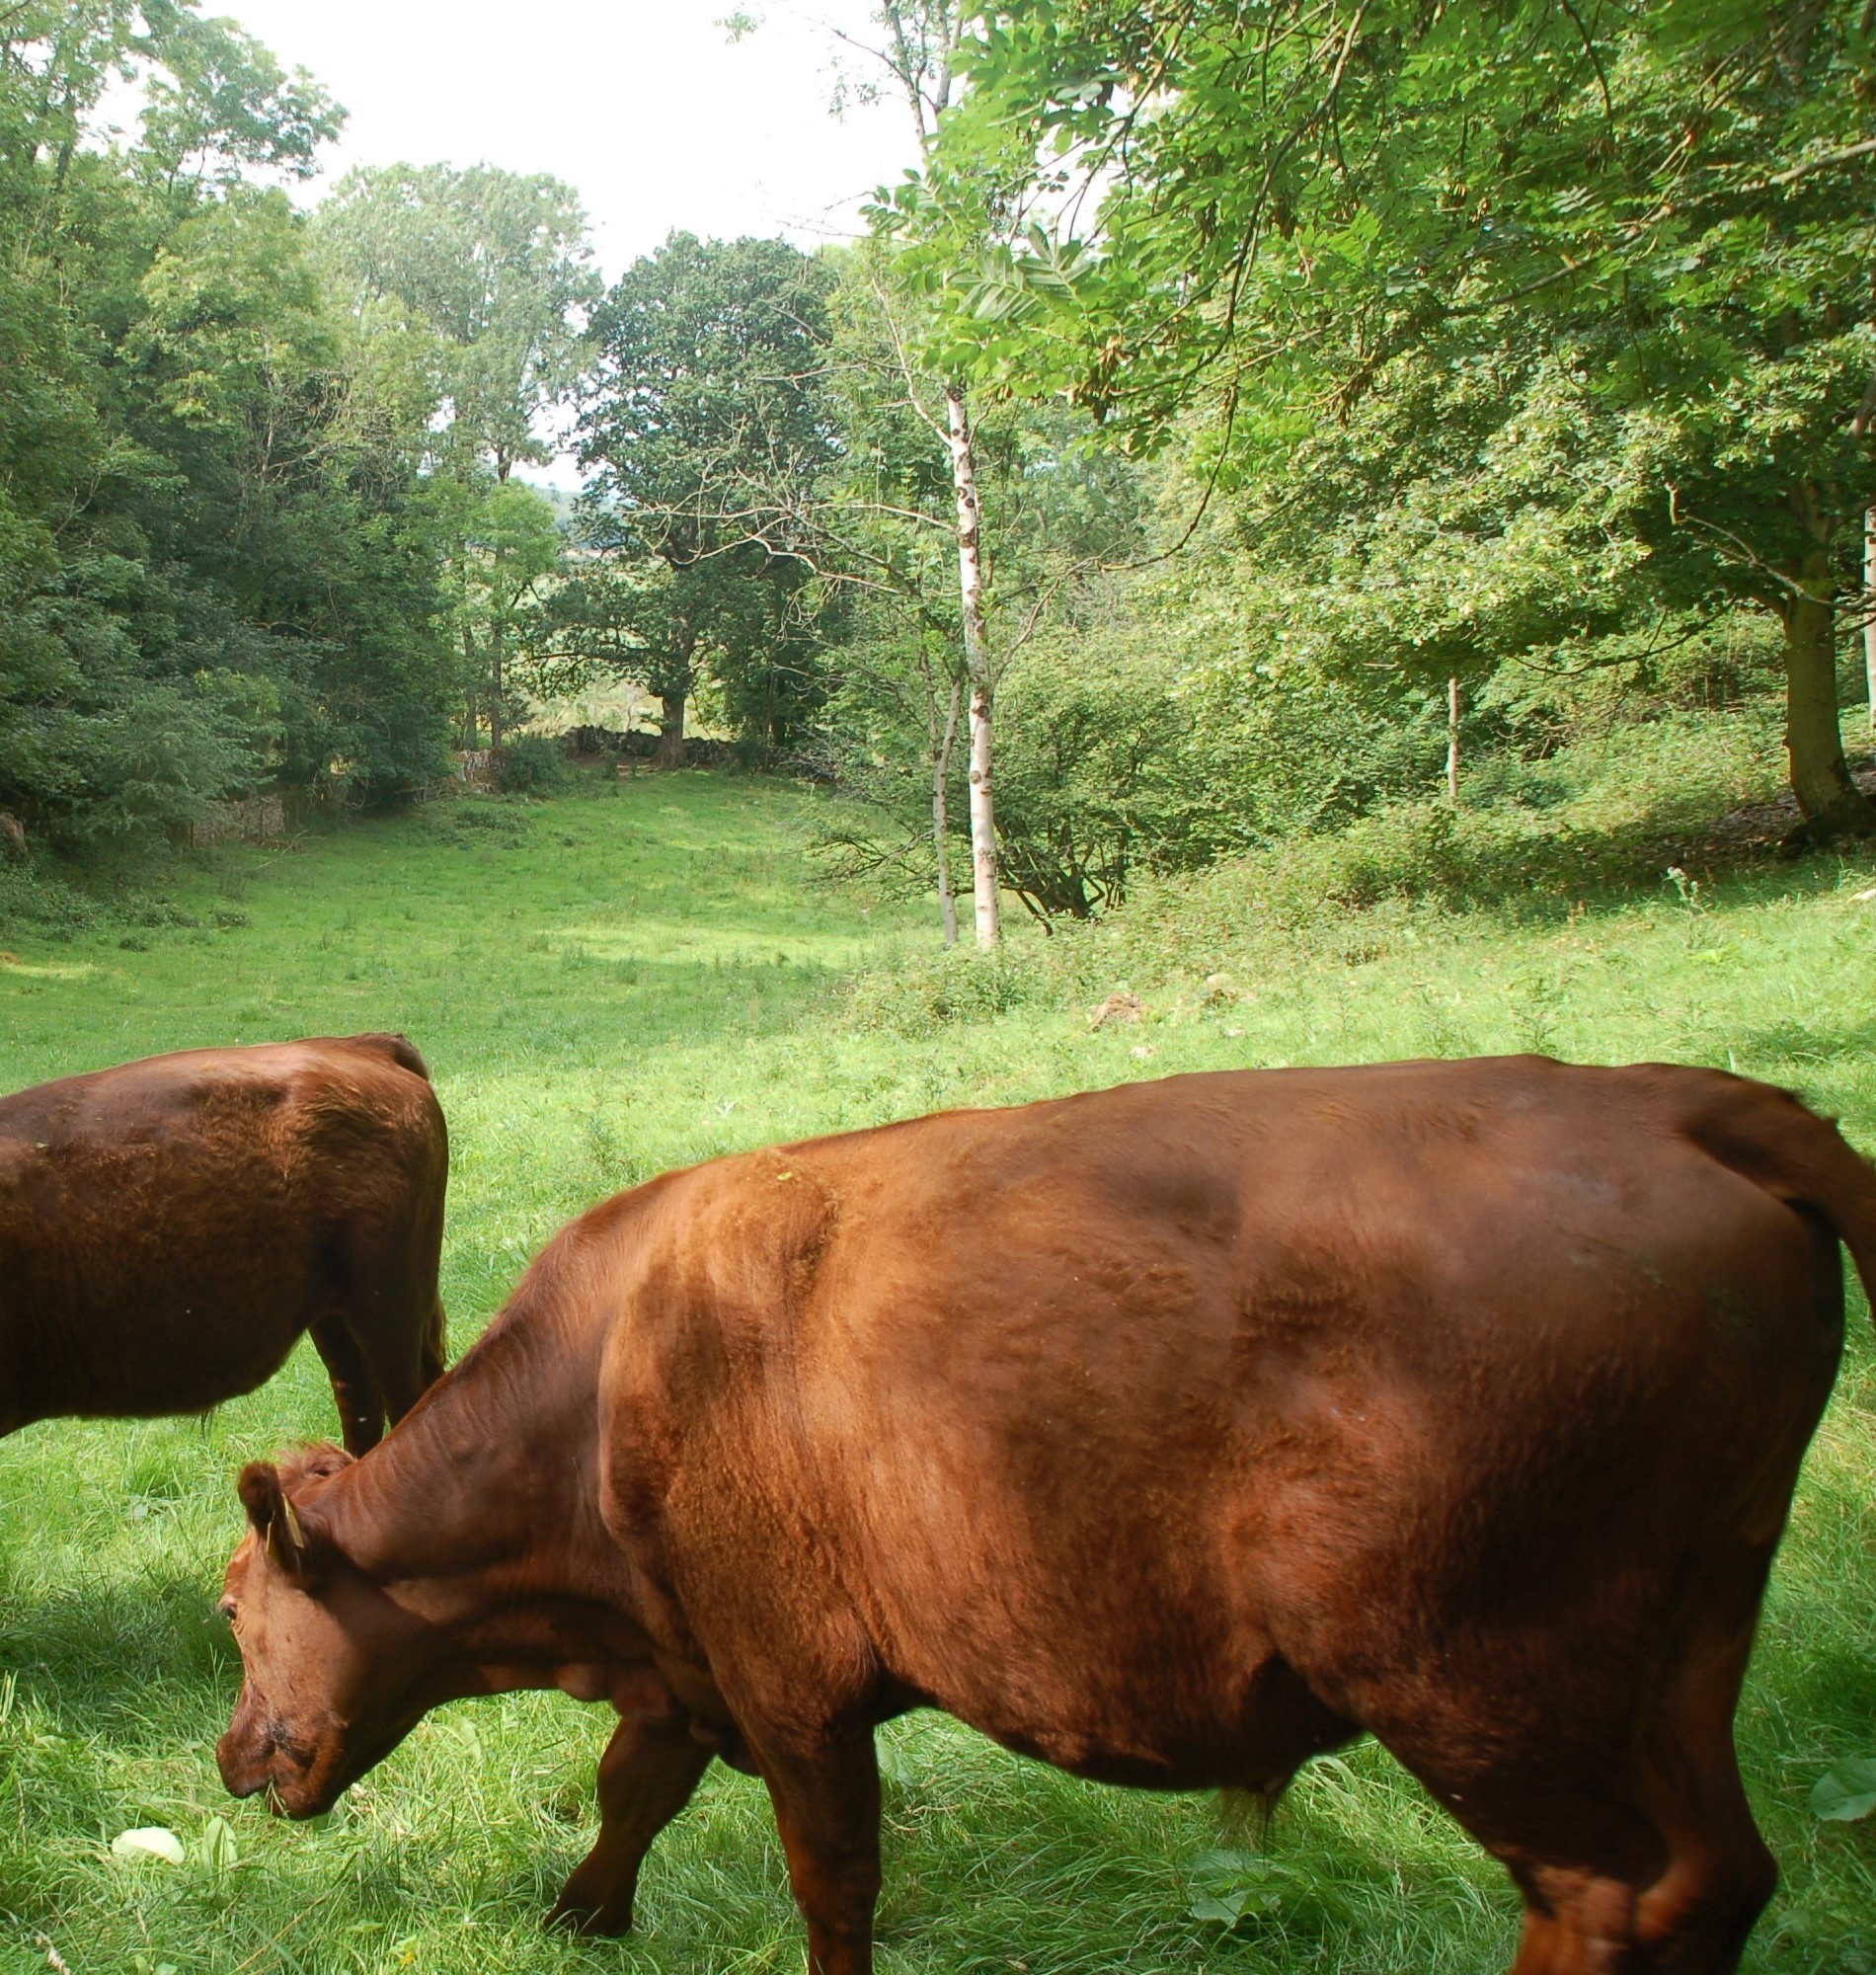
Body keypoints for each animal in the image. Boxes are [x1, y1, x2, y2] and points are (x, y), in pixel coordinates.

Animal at [213, 1066, 1872, 1975]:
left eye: (234, 1612)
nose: (231, 1757)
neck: (605, 1369)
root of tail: (1674, 1097)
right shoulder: (691, 1657)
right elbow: (634, 1788)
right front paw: (579, 1920)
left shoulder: (791, 1682)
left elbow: (829, 1879)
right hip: (1684, 1646)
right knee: (1716, 1878)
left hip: (1481, 1681)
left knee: (1608, 1896)